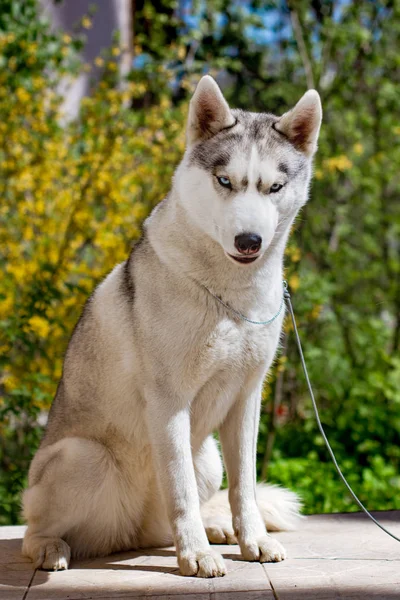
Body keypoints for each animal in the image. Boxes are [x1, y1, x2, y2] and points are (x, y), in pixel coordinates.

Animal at [22, 75, 322, 576]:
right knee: (36, 526)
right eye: (225, 181)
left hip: (209, 460)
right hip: (83, 456)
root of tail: (129, 534)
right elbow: (177, 488)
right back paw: (49, 546)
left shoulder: (247, 400)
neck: (228, 297)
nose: (249, 240)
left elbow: (245, 488)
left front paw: (251, 540)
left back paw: (213, 528)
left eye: (274, 186)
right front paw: (196, 555)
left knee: (184, 513)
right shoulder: (169, 401)